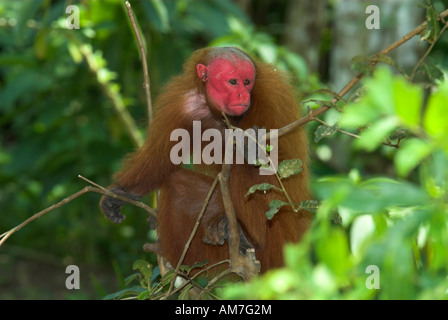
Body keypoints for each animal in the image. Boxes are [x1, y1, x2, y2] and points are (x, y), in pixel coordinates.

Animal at [101, 47, 312, 276]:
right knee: (178, 186)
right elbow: (159, 160)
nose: (243, 95)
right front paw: (122, 193)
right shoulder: (180, 103)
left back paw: (245, 235)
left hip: (279, 244)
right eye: (233, 82)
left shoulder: (272, 101)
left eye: (247, 82)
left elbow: (283, 175)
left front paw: (252, 147)